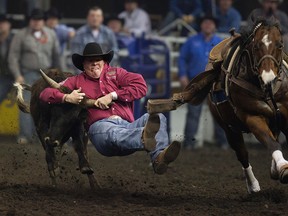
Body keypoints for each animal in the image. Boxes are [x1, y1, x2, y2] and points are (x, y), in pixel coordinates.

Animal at [150, 19, 288, 193]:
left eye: (280, 45)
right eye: (256, 46)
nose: (269, 78)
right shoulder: (252, 117)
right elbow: (271, 143)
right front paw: (283, 168)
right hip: (229, 129)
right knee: (243, 154)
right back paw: (253, 185)